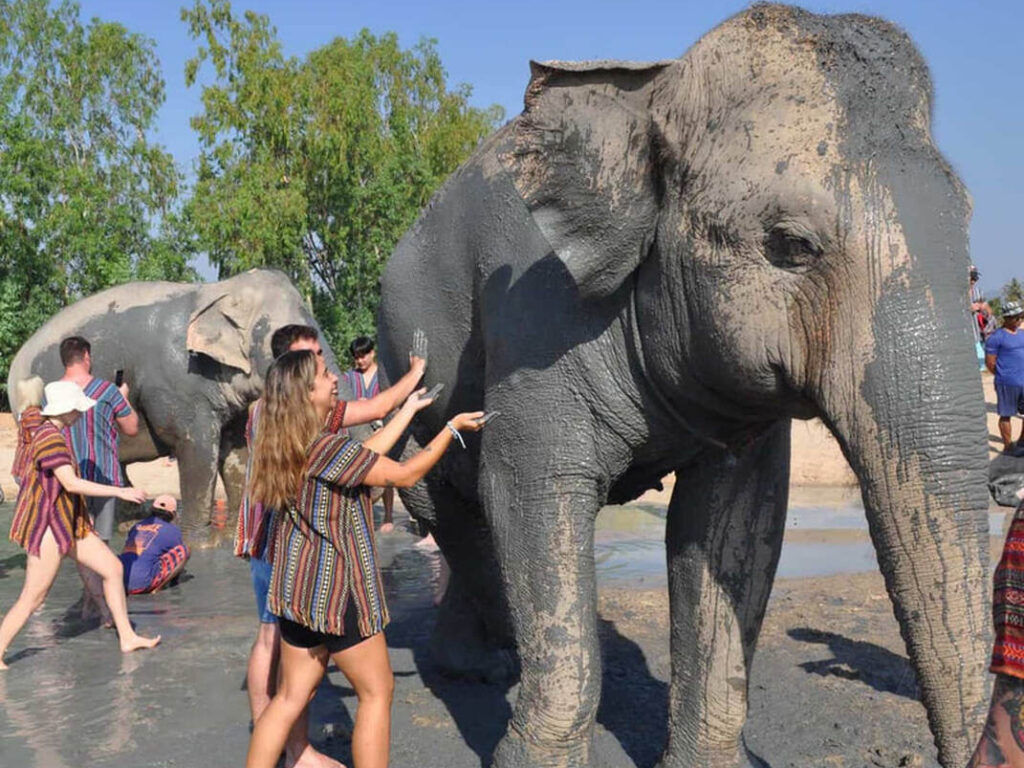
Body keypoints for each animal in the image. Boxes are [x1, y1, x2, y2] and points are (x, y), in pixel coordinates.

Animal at [8, 269, 343, 537]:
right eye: (282, 346)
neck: (218, 290)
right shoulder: (178, 381)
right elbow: (196, 446)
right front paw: (200, 541)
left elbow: (235, 450)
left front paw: (232, 534)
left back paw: (129, 522)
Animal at [377, 4, 991, 767]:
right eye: (792, 244)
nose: (914, 755)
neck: (654, 96)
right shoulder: (534, 311)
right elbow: (529, 491)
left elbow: (731, 522)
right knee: (453, 510)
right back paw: (489, 663)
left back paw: (486, 662)